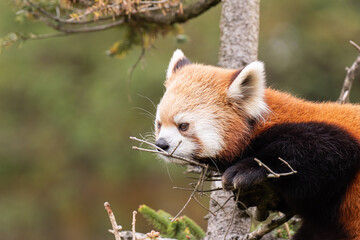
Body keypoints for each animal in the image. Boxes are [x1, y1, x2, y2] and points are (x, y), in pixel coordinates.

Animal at [154, 49, 360, 239]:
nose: (161, 145)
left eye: (183, 126)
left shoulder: (328, 134)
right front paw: (259, 194)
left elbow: (321, 154)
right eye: (159, 125)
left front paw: (245, 170)